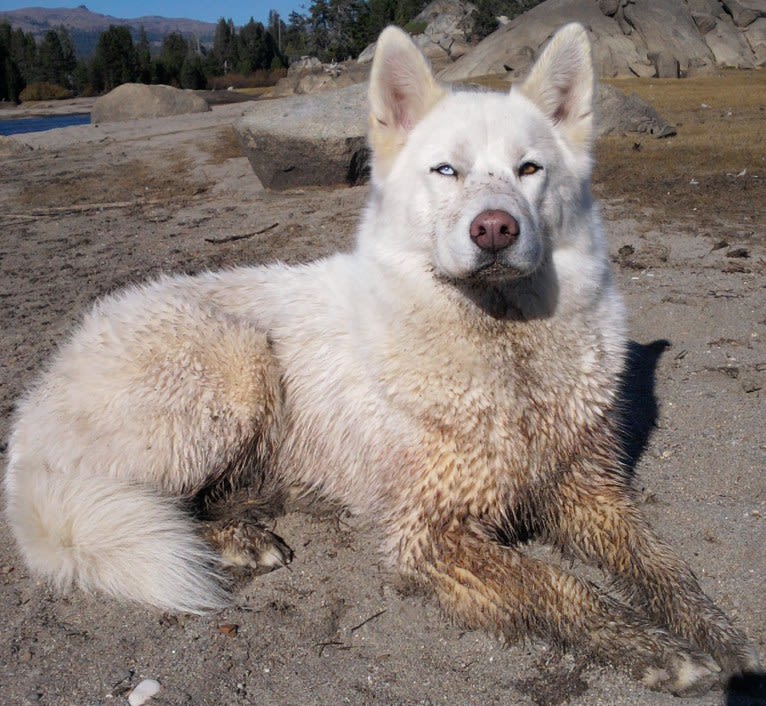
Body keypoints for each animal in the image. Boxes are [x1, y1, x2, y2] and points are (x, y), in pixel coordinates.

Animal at [6, 23, 760, 692]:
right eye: (446, 170)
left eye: (529, 170)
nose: (494, 228)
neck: (503, 351)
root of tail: (36, 403)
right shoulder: (429, 535)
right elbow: (558, 584)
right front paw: (655, 652)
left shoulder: (590, 493)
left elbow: (665, 568)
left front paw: (719, 639)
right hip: (238, 364)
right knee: (149, 508)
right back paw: (233, 541)